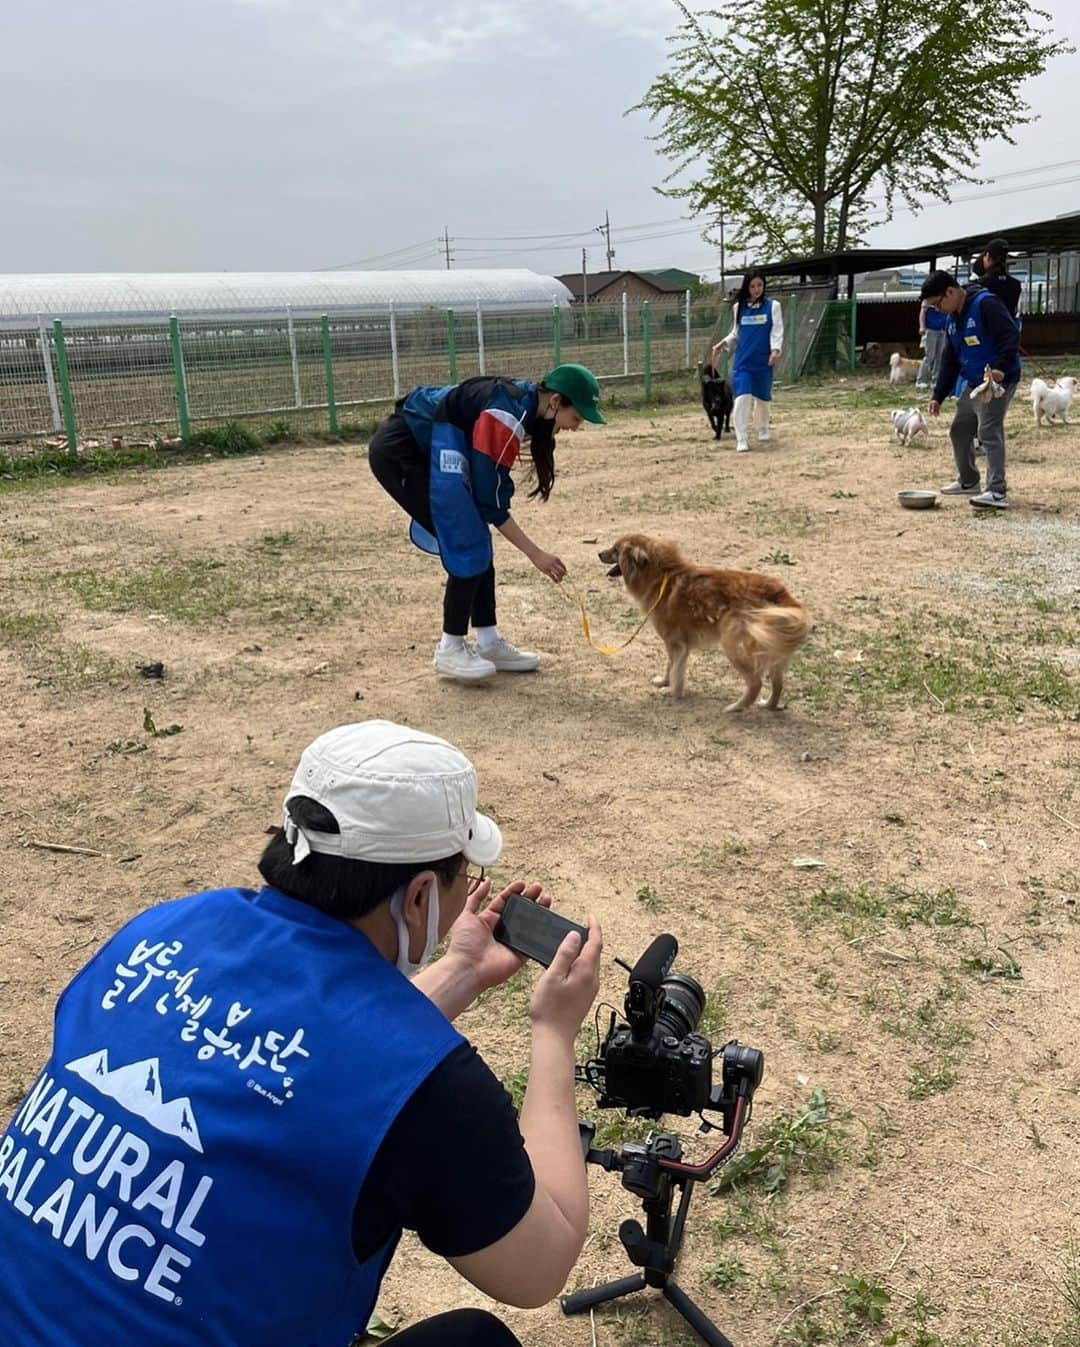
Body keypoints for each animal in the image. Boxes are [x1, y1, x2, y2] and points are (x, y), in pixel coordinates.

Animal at [597, 530, 807, 711]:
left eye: (615, 550)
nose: (598, 553)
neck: (661, 575)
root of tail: (778, 593)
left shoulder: (675, 643)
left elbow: (675, 669)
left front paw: (672, 691)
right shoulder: (678, 644)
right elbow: (671, 666)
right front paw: (664, 682)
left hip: (733, 645)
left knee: (755, 683)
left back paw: (735, 708)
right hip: (773, 647)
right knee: (778, 684)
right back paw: (768, 705)